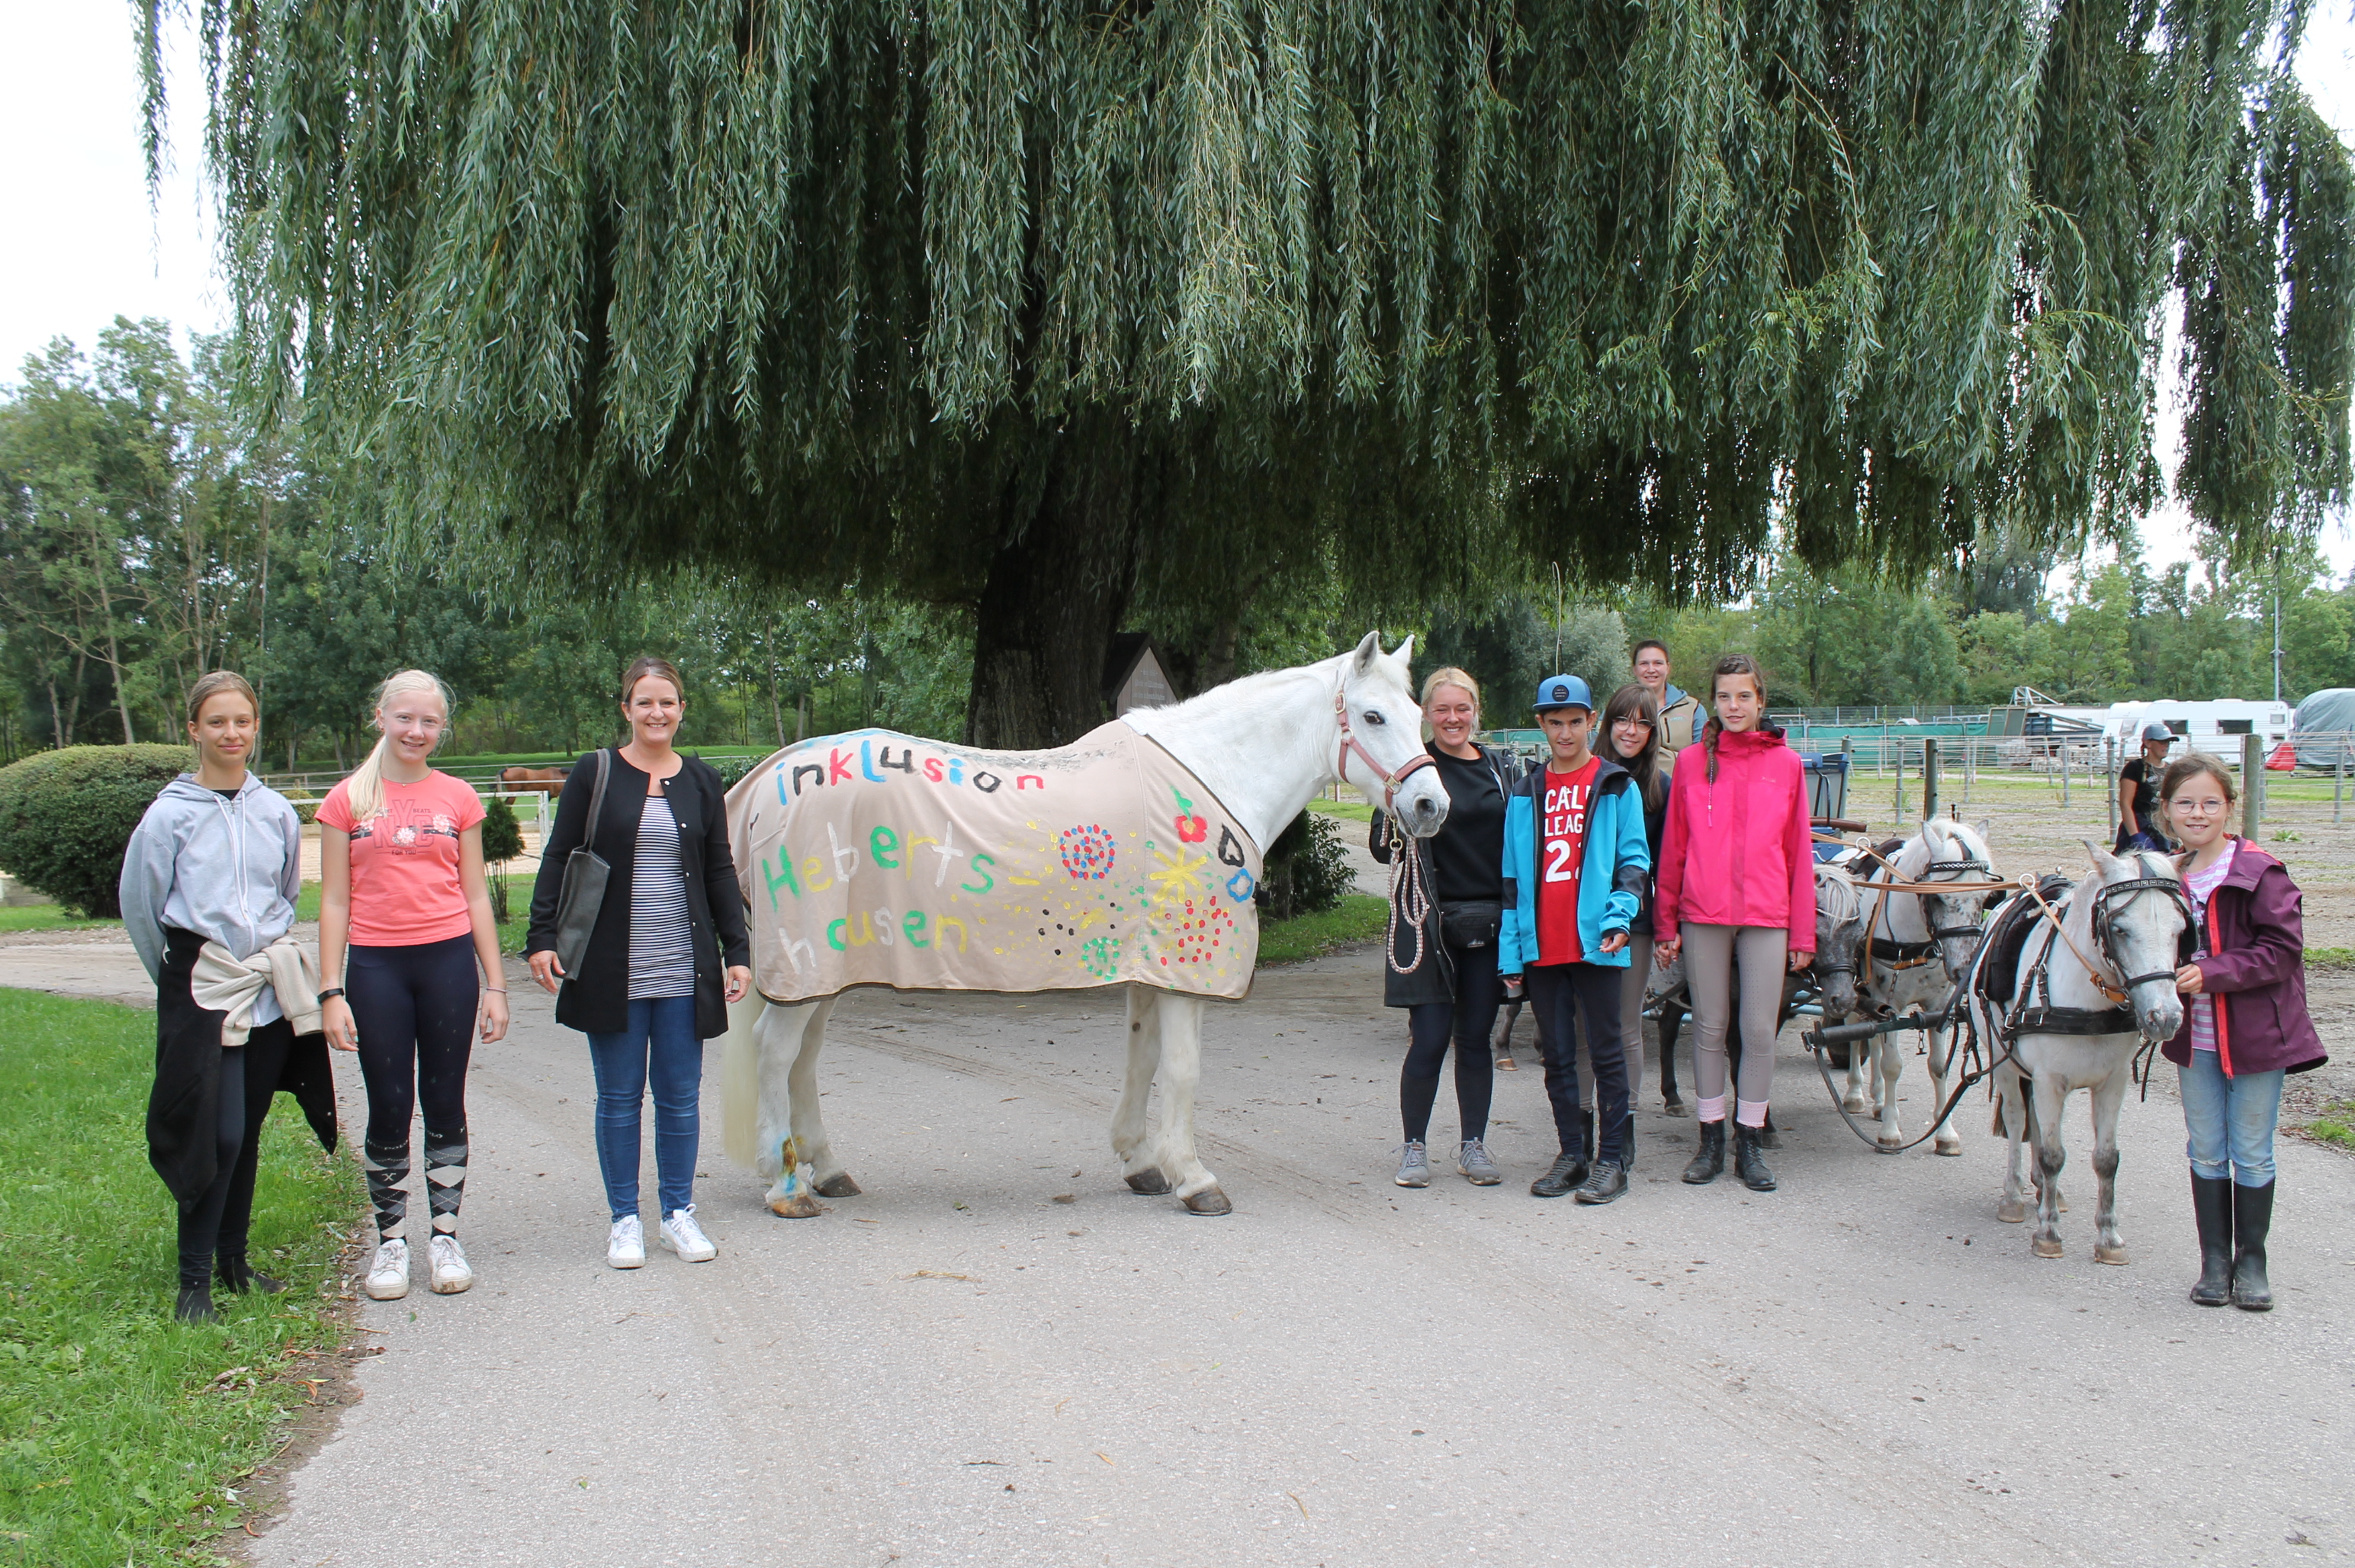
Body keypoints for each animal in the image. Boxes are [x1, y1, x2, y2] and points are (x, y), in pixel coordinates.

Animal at [715, 631, 1451, 1214]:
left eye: (1420, 714)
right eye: (1373, 715)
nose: (1430, 805)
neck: (1213, 775)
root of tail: (765, 777)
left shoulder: (1152, 964)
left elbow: (1142, 1057)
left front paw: (1141, 1163)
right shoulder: (1185, 967)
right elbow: (1182, 1068)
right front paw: (1195, 1179)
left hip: (825, 969)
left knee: (804, 1057)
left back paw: (827, 1169)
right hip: (807, 962)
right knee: (776, 1051)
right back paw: (786, 1187)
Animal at [1827, 819, 1997, 1149]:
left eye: (1985, 899)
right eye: (1937, 897)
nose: (1962, 969)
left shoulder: (1938, 1007)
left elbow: (1939, 1067)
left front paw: (1945, 1133)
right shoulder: (1889, 1002)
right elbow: (1892, 1065)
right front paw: (1891, 1131)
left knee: (1873, 1039)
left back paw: (1879, 1100)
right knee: (1855, 1032)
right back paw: (1856, 1094)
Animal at [1968, 843, 2185, 1261]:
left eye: (2180, 930)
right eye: (2119, 929)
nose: (2165, 1016)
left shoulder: (2112, 1083)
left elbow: (2106, 1160)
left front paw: (2109, 1237)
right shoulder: (2050, 1080)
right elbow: (2053, 1154)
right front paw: (2048, 1232)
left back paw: (2044, 1189)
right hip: (2004, 1062)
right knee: (2018, 1120)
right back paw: (2014, 1196)